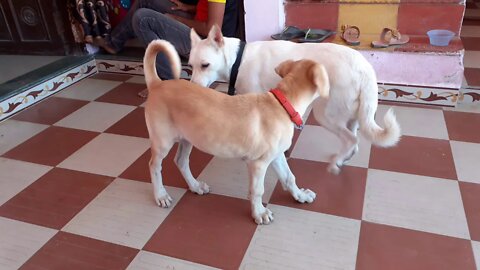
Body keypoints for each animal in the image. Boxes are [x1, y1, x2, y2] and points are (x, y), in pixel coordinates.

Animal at [142, 39, 330, 225]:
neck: (283, 104)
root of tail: (157, 84)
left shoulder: (276, 156)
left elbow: (289, 177)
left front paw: (300, 195)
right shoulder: (258, 163)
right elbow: (257, 190)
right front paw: (259, 213)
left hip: (188, 138)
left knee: (180, 161)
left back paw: (195, 186)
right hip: (162, 141)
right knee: (154, 166)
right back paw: (160, 195)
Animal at [188, 26, 402, 174]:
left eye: (205, 65)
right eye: (190, 65)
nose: (192, 88)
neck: (238, 60)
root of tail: (364, 69)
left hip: (325, 115)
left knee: (351, 139)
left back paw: (335, 164)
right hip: (355, 116)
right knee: (354, 141)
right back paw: (344, 158)